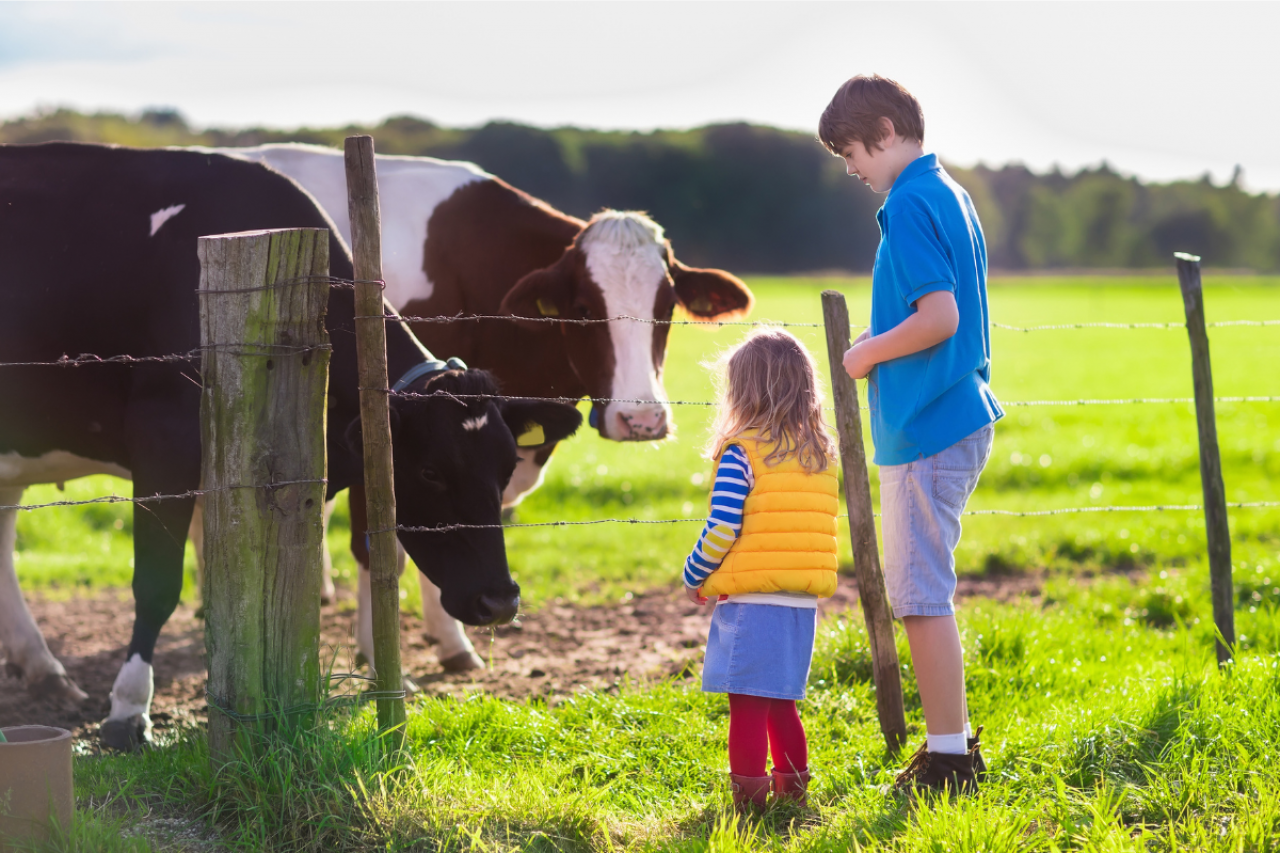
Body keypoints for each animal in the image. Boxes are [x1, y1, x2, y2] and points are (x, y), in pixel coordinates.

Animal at [0, 142, 581, 747]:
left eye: (507, 465)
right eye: (430, 472)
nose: (500, 600)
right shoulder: (164, 443)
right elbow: (157, 584)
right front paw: (128, 709)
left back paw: (39, 666)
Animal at [204, 140, 752, 671]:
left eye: (666, 308)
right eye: (583, 310)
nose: (642, 419)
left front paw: (450, 641)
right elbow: (381, 548)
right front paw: (382, 655)